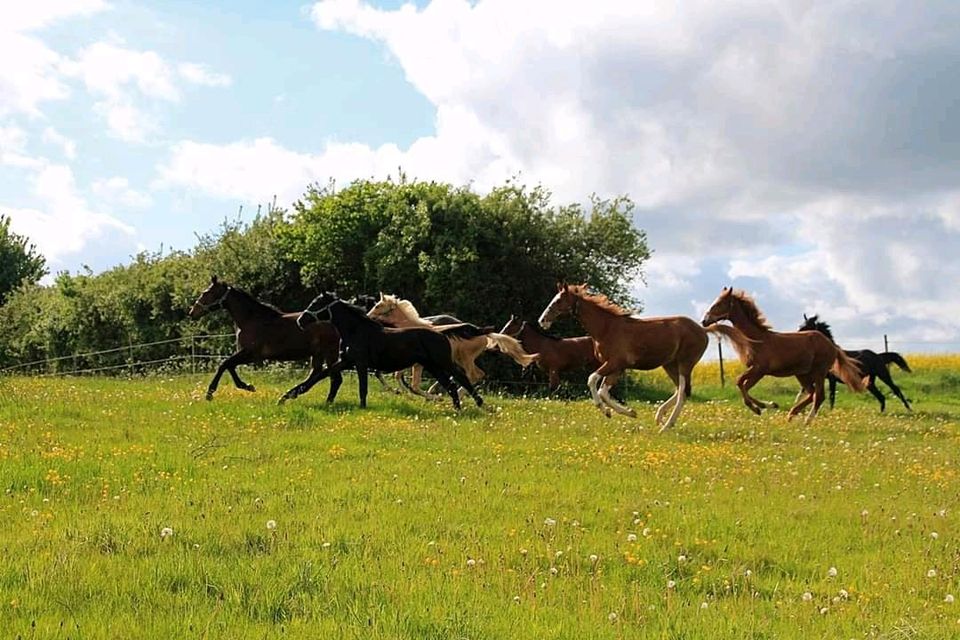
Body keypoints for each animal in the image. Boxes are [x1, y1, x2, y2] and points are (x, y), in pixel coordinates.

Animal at [188, 272, 342, 402]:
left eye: (206, 293)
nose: (192, 312)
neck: (250, 320)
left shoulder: (252, 354)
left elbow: (225, 364)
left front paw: (210, 393)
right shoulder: (248, 355)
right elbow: (230, 365)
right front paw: (247, 386)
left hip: (330, 353)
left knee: (335, 378)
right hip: (317, 354)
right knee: (318, 375)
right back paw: (291, 395)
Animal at [296, 292, 484, 410]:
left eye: (316, 303)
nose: (300, 320)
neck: (356, 330)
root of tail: (441, 332)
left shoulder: (361, 363)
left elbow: (363, 387)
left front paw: (363, 407)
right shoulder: (347, 362)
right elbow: (323, 374)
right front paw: (292, 394)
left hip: (443, 362)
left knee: (463, 377)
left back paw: (480, 404)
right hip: (433, 366)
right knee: (452, 384)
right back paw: (456, 407)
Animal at [532, 284, 752, 430]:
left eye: (558, 301)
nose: (542, 320)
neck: (606, 328)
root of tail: (703, 329)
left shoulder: (615, 363)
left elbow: (592, 380)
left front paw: (606, 410)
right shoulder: (617, 367)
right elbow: (603, 390)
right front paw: (627, 412)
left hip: (685, 363)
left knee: (682, 392)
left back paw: (666, 425)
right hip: (669, 365)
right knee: (682, 390)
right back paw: (660, 417)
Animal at [696, 288, 872, 422]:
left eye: (719, 304)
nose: (704, 321)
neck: (757, 339)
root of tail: (832, 345)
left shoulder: (759, 370)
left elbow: (742, 384)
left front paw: (760, 408)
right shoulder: (754, 369)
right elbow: (741, 384)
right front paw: (769, 405)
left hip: (819, 372)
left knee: (819, 396)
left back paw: (806, 421)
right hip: (802, 374)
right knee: (812, 393)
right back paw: (791, 415)